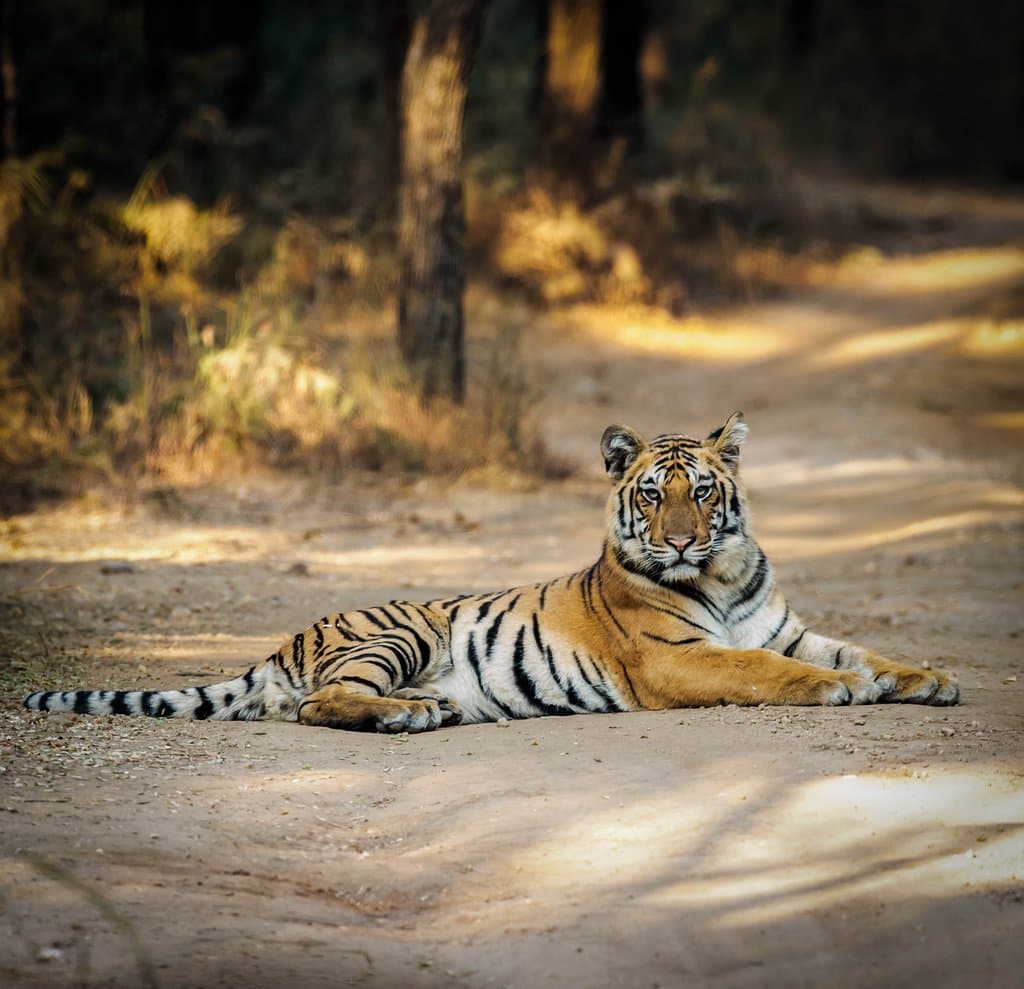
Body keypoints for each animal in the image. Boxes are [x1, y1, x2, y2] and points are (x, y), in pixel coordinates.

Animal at [23, 413, 959, 731]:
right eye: (651, 494)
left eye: (702, 491)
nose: (682, 542)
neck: (722, 575)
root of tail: (286, 641)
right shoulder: (676, 659)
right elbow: (763, 668)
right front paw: (837, 690)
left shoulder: (791, 627)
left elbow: (861, 650)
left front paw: (929, 676)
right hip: (398, 629)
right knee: (318, 703)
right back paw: (407, 715)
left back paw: (429, 709)